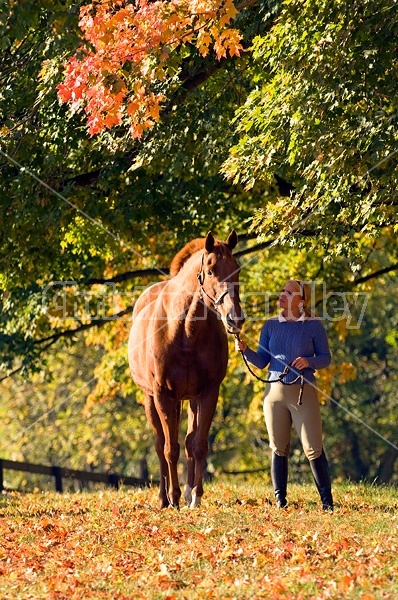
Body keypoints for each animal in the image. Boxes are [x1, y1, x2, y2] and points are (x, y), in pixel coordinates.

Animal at [129, 232, 244, 508]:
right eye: (211, 270)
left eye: (236, 270)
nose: (235, 319)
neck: (183, 331)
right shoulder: (162, 395)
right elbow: (170, 448)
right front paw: (174, 497)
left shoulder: (209, 393)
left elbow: (199, 445)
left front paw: (195, 496)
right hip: (151, 398)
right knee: (160, 444)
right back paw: (164, 498)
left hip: (189, 399)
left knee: (190, 442)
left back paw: (189, 490)